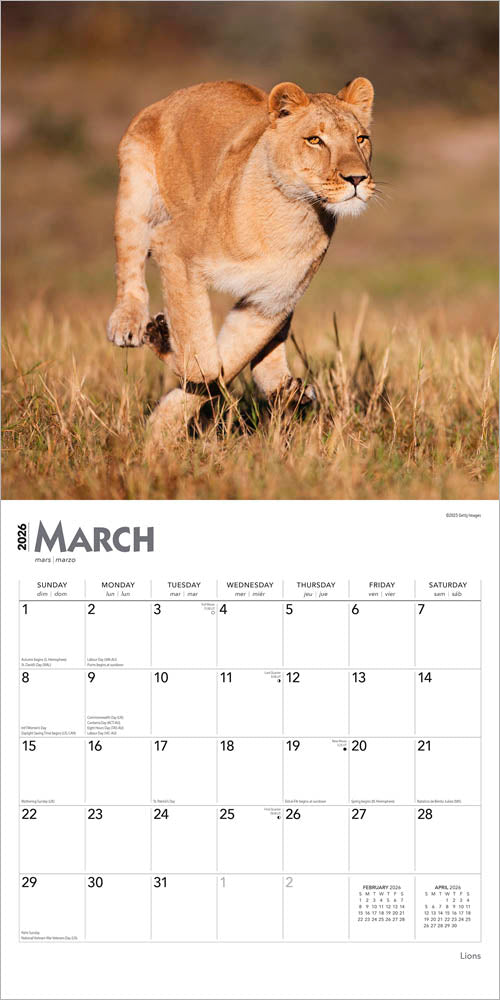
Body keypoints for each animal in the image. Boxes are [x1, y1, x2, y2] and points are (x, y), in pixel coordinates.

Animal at [107, 77, 375, 436]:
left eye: (361, 139)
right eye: (315, 140)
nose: (357, 178)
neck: (292, 214)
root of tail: (172, 96)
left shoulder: (269, 302)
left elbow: (226, 363)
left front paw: (160, 431)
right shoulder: (175, 246)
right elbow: (205, 363)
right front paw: (161, 338)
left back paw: (287, 390)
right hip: (136, 193)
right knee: (129, 263)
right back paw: (129, 322)